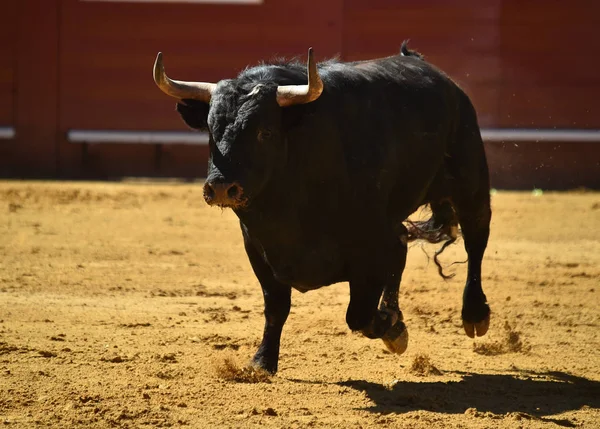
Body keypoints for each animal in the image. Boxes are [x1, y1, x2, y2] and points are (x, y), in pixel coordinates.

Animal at [152, 41, 490, 372]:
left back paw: (474, 314)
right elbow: (276, 307)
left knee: (475, 241)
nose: (222, 187)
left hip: (471, 184)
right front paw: (262, 362)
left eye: (265, 132)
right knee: (401, 248)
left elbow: (358, 315)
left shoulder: (369, 249)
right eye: (211, 131)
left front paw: (393, 329)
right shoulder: (257, 249)